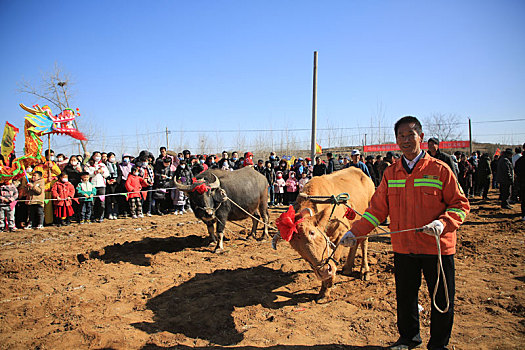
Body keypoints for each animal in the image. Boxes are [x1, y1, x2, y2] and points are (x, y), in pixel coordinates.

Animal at [272, 167, 374, 300]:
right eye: (296, 248)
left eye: (312, 232)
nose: (324, 271)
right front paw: (323, 289)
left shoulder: (342, 232)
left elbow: (334, 257)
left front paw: (328, 285)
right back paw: (347, 268)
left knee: (364, 241)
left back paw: (365, 270)